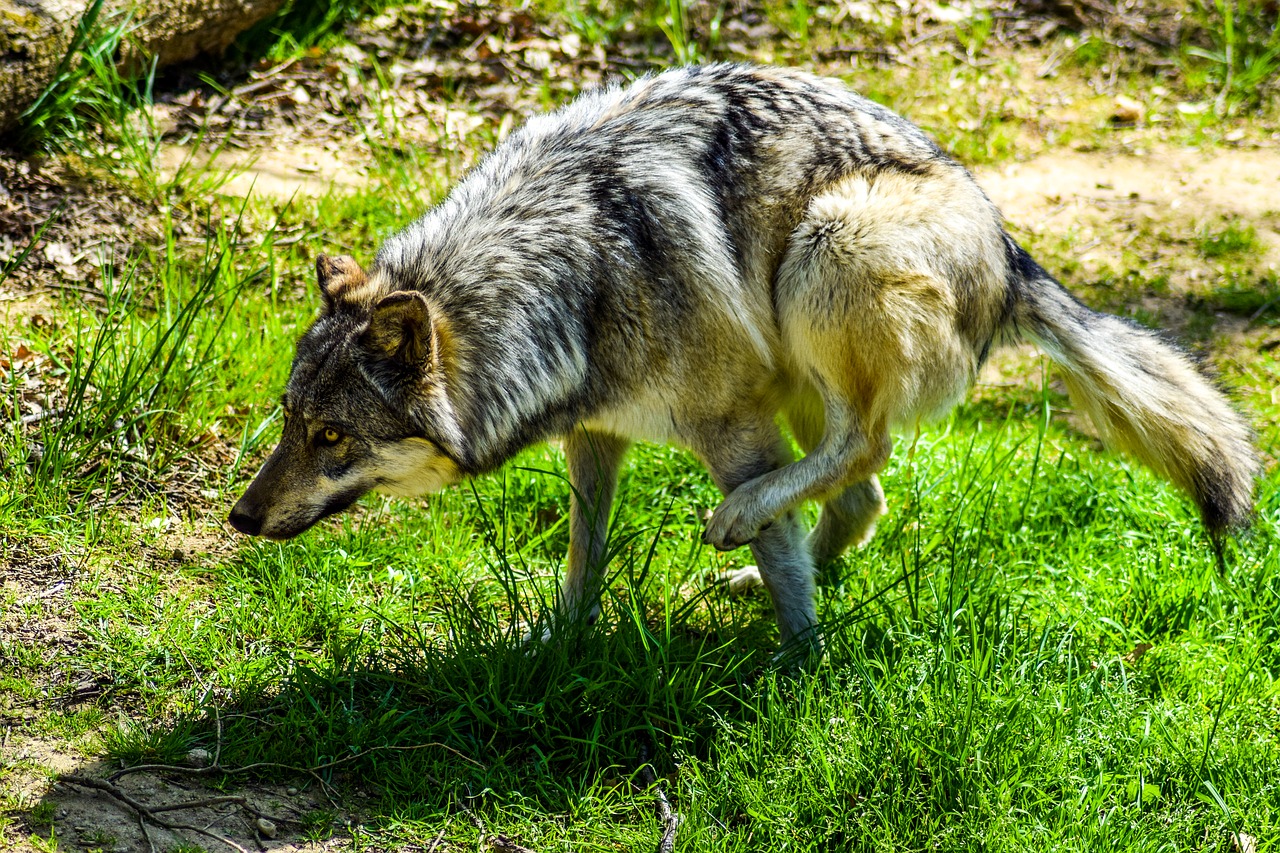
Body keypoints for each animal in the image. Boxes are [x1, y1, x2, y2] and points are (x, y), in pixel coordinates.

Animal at [225, 63, 1254, 653]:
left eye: (331, 436)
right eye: (288, 421)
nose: (239, 516)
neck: (569, 272)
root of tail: (1009, 251)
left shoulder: (730, 428)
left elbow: (786, 561)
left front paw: (801, 667)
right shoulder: (594, 433)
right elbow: (584, 549)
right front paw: (561, 642)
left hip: (827, 253)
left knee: (860, 454)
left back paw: (747, 542)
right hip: (798, 359)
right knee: (859, 497)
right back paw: (757, 577)